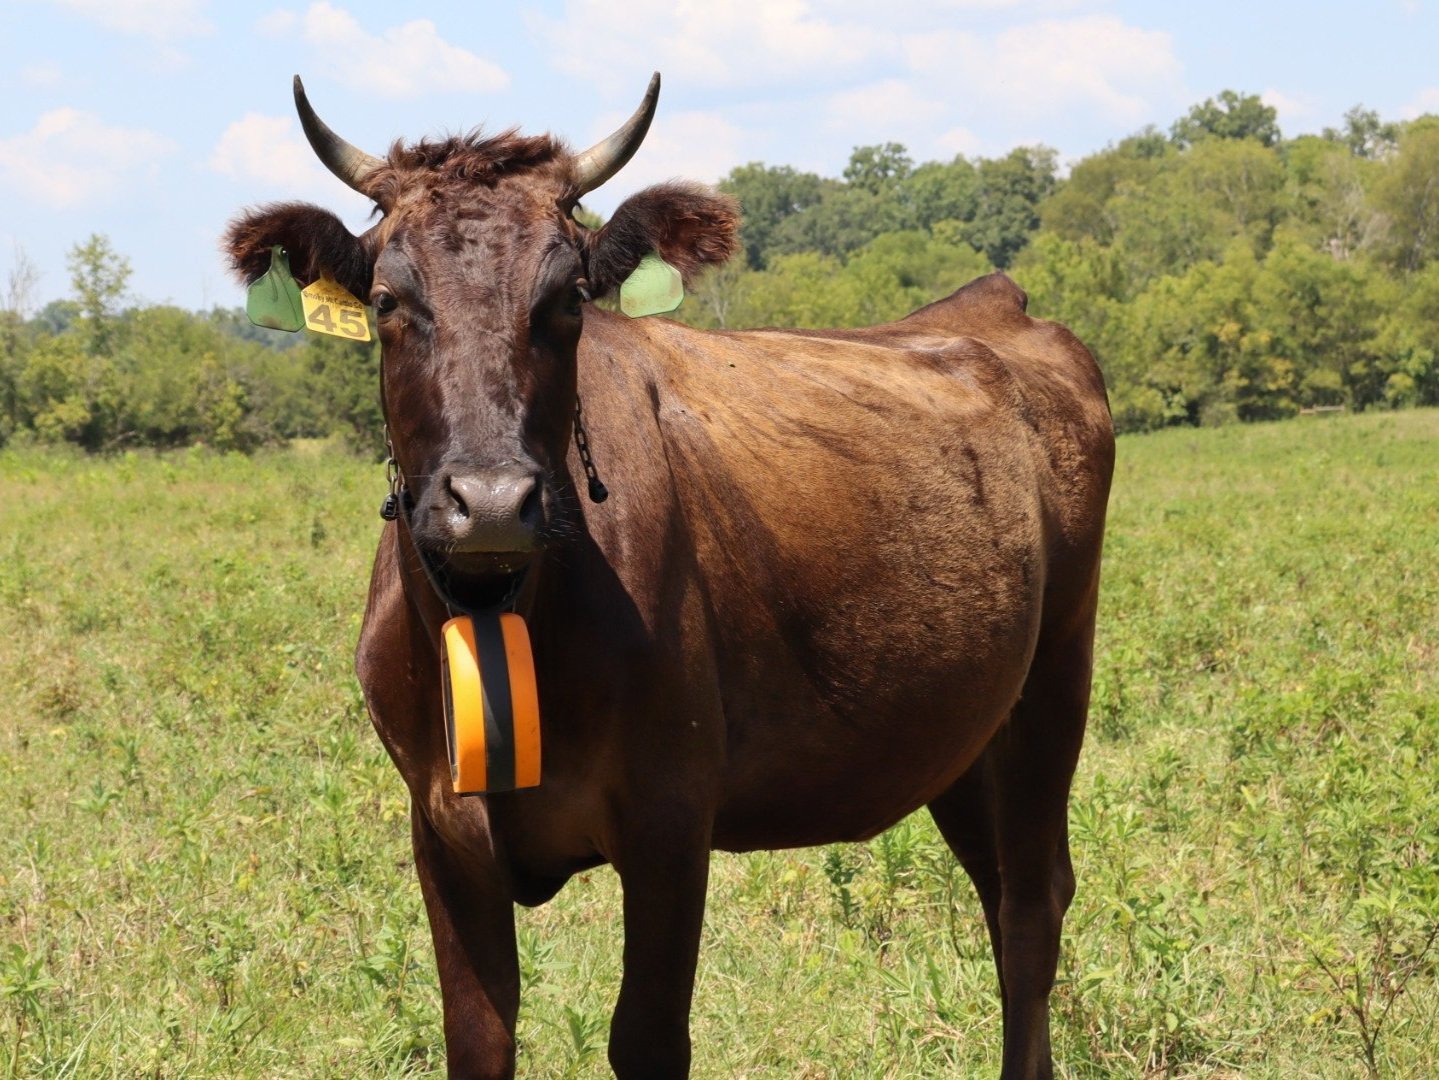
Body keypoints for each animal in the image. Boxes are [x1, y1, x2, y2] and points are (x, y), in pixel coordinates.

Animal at [225, 73, 1114, 1080]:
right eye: (384, 301)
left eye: (569, 298)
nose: (490, 502)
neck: (511, 609)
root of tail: (992, 303)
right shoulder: (439, 827)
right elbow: (477, 1036)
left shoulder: (670, 819)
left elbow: (647, 1037)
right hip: (961, 728)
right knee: (998, 895)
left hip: (1055, 678)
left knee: (1033, 902)